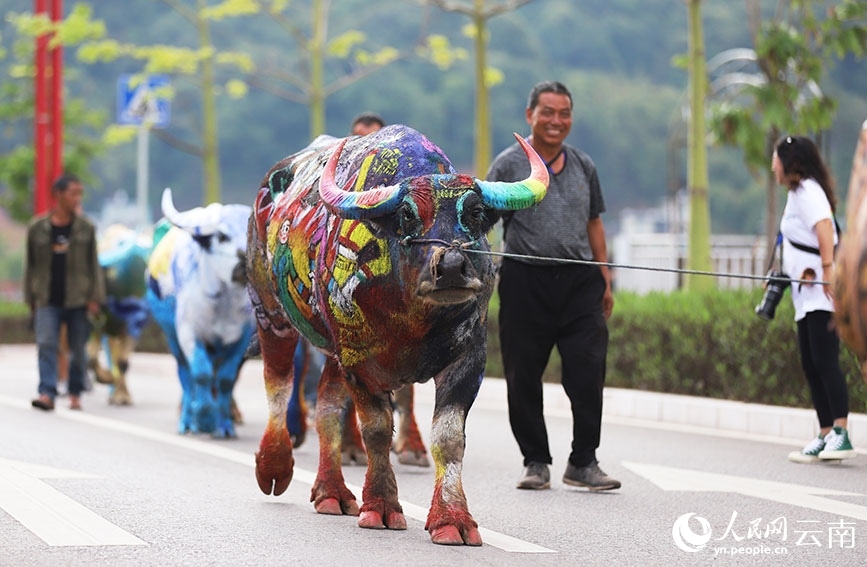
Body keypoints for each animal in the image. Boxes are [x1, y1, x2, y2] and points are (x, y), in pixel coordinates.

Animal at [146, 191, 253, 440]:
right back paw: (187, 420)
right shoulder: (189, 334)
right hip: (172, 338)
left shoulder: (242, 338)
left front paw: (224, 425)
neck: (224, 306)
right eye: (222, 236)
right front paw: (203, 419)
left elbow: (226, 379)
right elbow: (201, 373)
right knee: (186, 376)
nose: (244, 260)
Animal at [248, 125, 544, 544]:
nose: (451, 267)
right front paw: (381, 506)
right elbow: (375, 431)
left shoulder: (470, 359)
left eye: (474, 213)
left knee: (326, 408)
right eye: (407, 214)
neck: (412, 316)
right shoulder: (358, 361)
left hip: (333, 353)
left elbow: (449, 439)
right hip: (269, 312)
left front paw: (453, 518)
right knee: (278, 383)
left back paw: (332, 493)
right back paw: (273, 467)